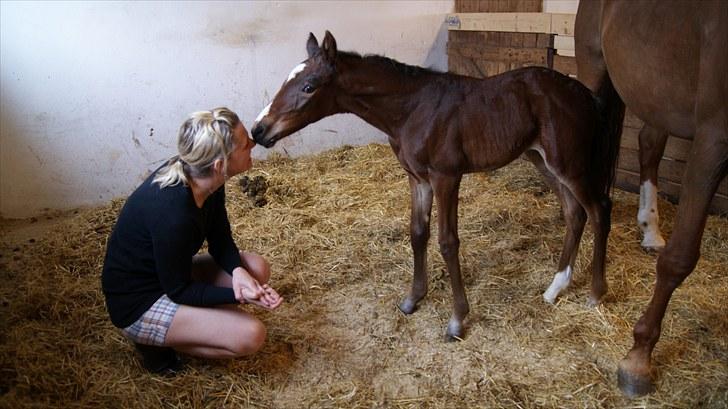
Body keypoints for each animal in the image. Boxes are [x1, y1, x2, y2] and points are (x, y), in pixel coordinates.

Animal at [253, 31, 624, 338]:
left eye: (309, 86)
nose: (259, 129)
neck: (413, 110)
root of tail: (584, 93)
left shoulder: (446, 177)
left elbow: (447, 242)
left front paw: (457, 319)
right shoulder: (417, 178)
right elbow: (418, 233)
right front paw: (413, 299)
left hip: (570, 164)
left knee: (599, 210)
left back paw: (595, 293)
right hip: (543, 161)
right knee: (574, 213)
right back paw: (554, 289)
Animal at [576, 0, 724, 396]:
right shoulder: (714, 135)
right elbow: (680, 258)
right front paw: (638, 358)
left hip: (656, 94)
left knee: (649, 143)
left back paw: (651, 230)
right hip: (594, 65)